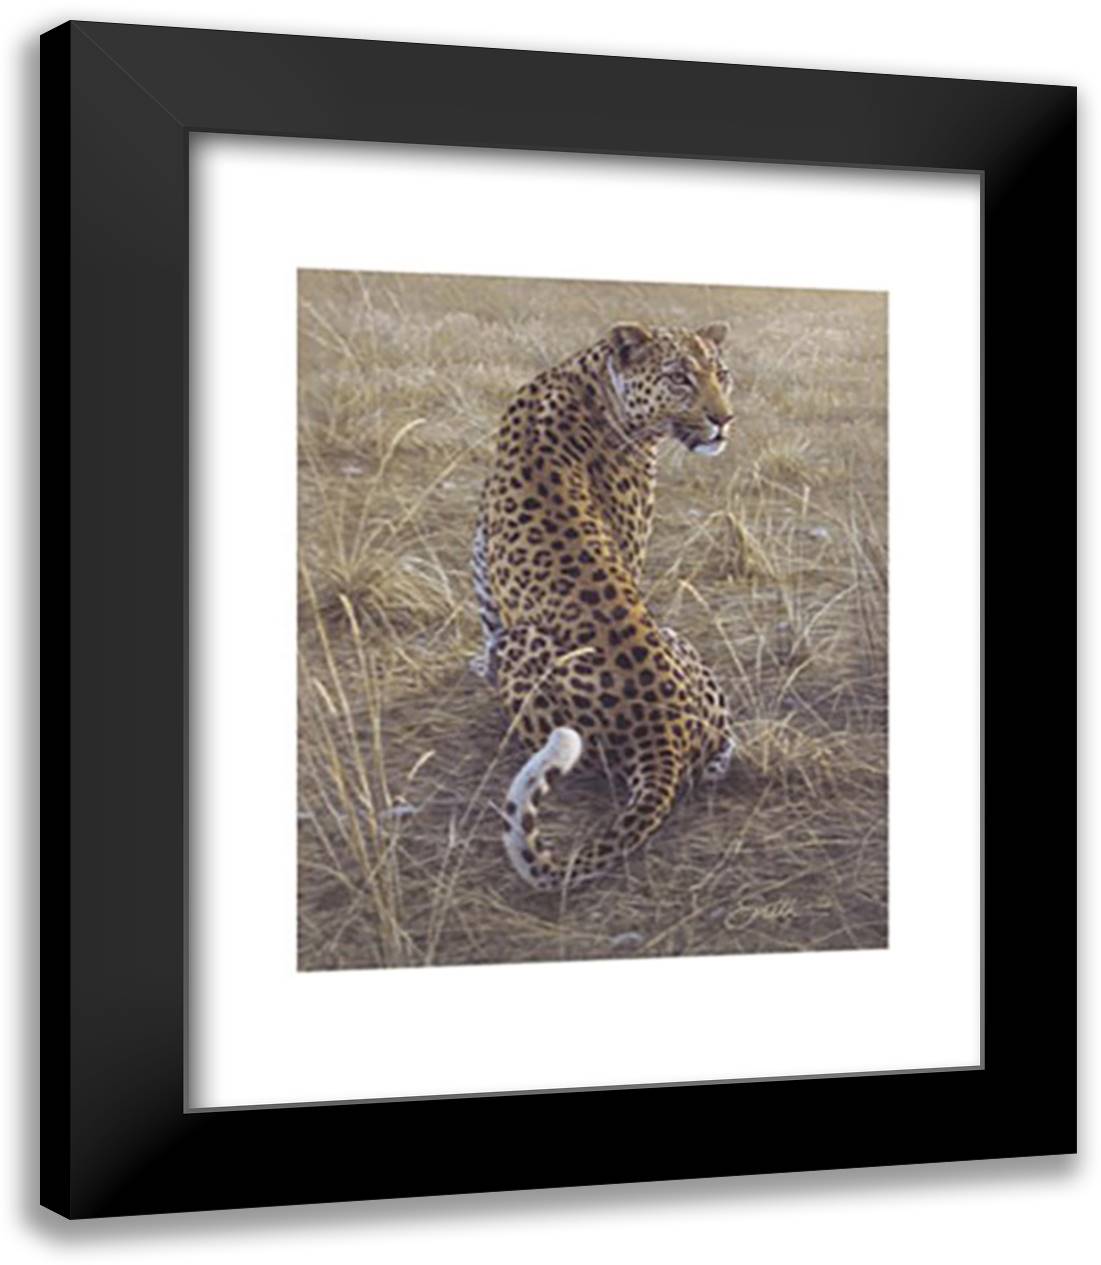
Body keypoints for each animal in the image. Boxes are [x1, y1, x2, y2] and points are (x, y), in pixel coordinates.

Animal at [472, 320, 738, 891]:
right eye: (680, 378)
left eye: (721, 373)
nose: (724, 419)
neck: (591, 377)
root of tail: (662, 736)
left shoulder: (483, 556)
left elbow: (485, 615)